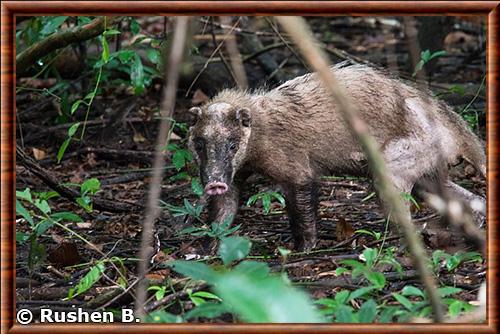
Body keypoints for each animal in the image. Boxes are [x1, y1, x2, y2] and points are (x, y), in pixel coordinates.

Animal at [187, 62, 484, 250]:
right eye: (199, 143)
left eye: (233, 144)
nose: (214, 183)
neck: (260, 126)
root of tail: (455, 129)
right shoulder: (234, 174)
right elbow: (225, 208)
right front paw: (209, 246)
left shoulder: (295, 165)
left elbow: (302, 205)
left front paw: (305, 248)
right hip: (426, 168)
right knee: (455, 194)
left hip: (399, 160)